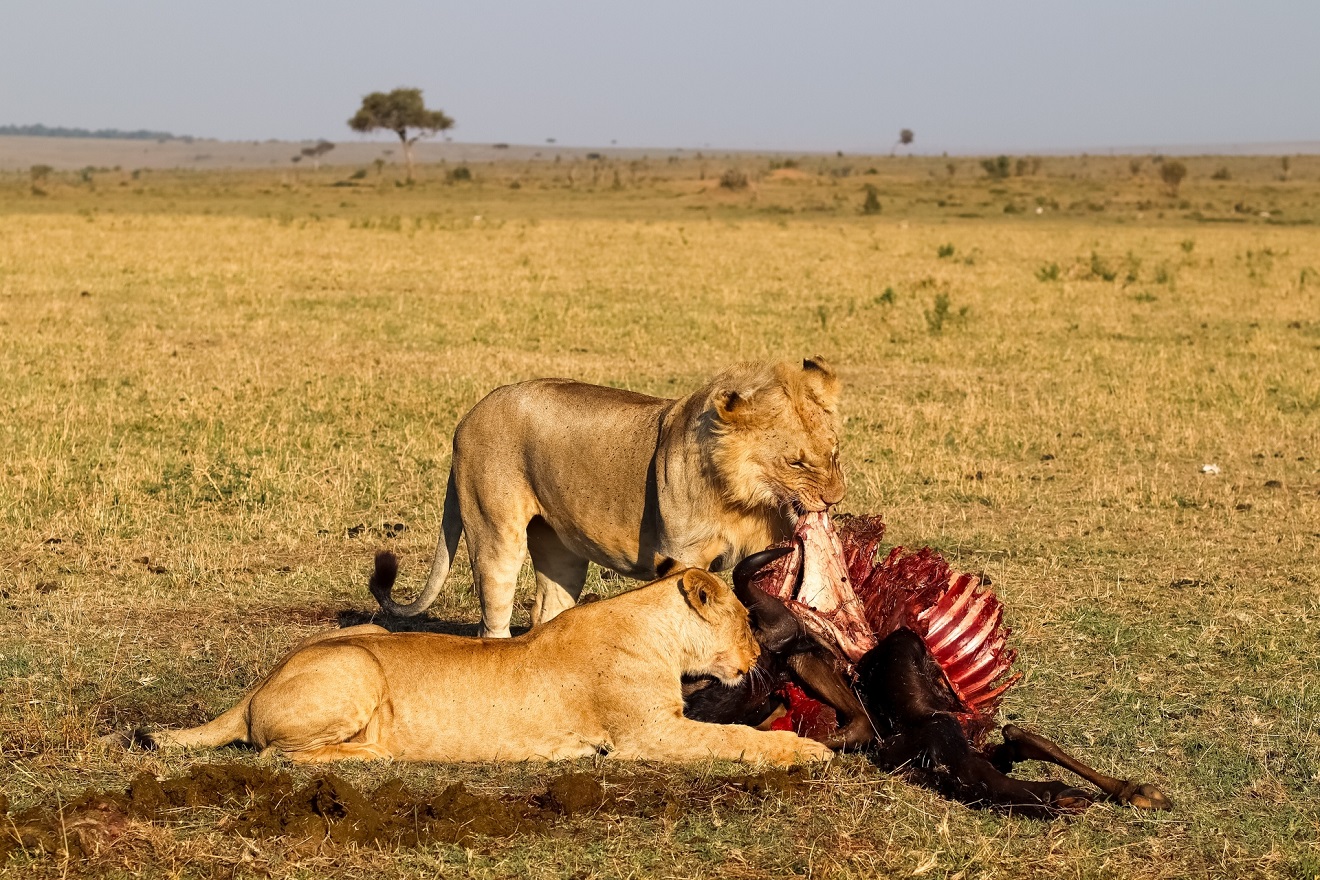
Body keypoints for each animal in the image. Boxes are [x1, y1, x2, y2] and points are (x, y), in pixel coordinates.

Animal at [147, 555, 833, 766]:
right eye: (745, 620)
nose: (757, 653)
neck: (654, 628)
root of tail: (258, 686)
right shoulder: (646, 735)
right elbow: (736, 739)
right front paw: (804, 750)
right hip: (356, 665)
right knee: (279, 753)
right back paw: (377, 750)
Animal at [373, 358, 845, 638]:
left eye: (835, 452)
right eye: (796, 462)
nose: (835, 499)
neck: (742, 497)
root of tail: (469, 415)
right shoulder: (683, 555)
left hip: (560, 549)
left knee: (548, 609)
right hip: (494, 532)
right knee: (494, 616)